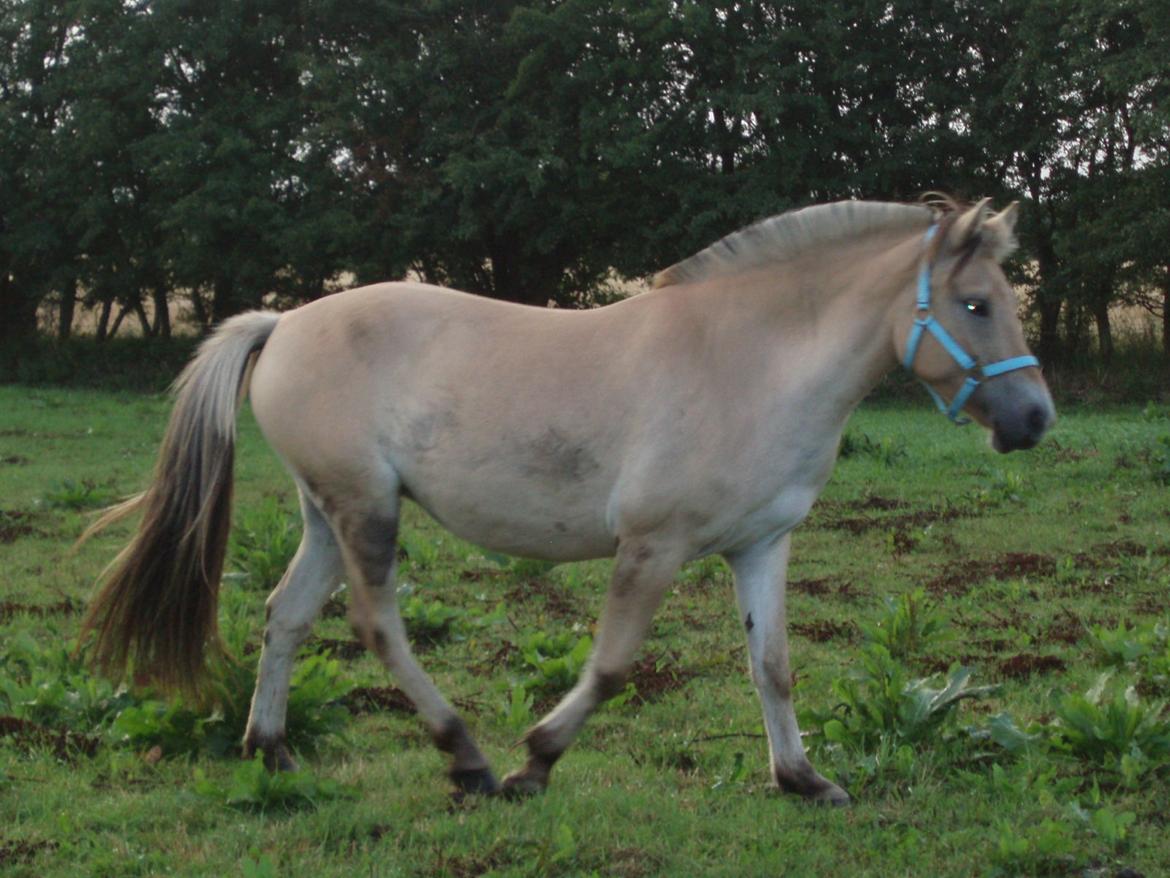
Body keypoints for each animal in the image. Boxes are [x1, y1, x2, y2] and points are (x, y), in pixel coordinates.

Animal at [80, 197, 1053, 805]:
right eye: (975, 304)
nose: (1035, 418)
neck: (749, 360)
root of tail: (283, 322)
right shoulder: (653, 547)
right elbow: (613, 666)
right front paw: (534, 765)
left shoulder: (761, 544)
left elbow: (771, 665)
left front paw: (804, 780)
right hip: (366, 509)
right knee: (375, 624)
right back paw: (466, 758)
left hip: (326, 512)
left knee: (284, 615)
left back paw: (272, 749)